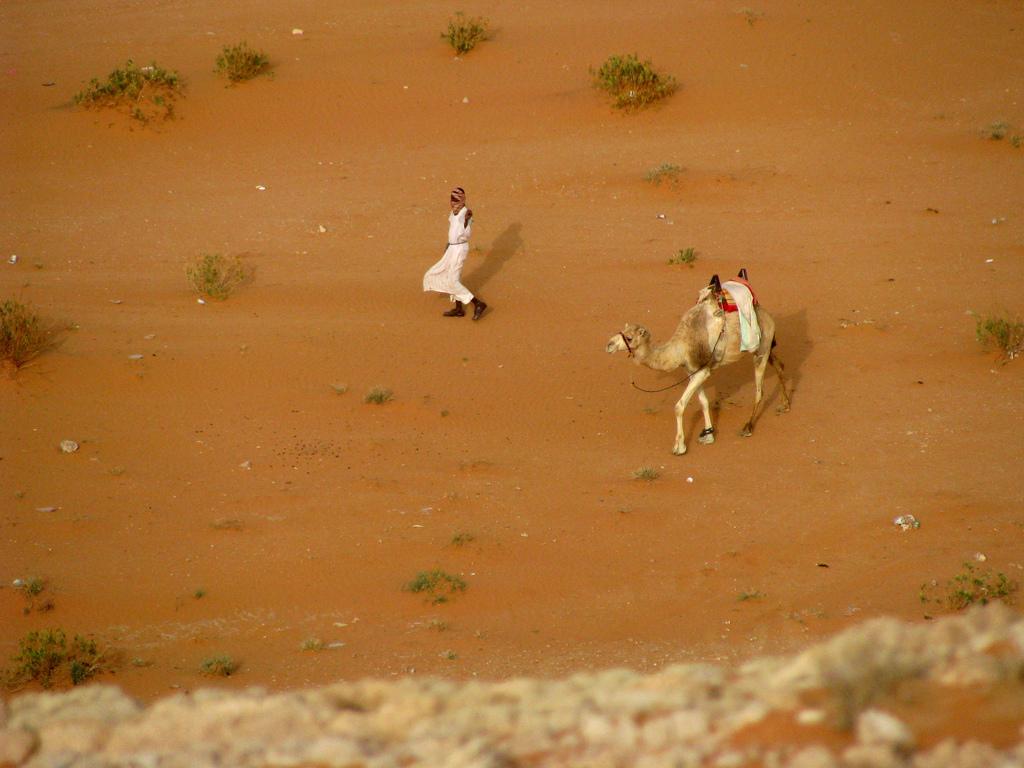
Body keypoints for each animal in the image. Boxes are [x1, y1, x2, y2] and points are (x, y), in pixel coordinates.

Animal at [606, 274, 790, 456]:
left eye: (629, 337)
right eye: (621, 332)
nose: (609, 345)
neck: (681, 347)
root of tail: (766, 314)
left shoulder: (702, 371)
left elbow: (679, 406)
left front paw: (679, 447)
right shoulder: (693, 371)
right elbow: (704, 402)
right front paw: (708, 435)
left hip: (761, 348)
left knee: (759, 389)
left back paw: (748, 427)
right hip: (764, 347)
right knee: (780, 365)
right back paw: (784, 405)